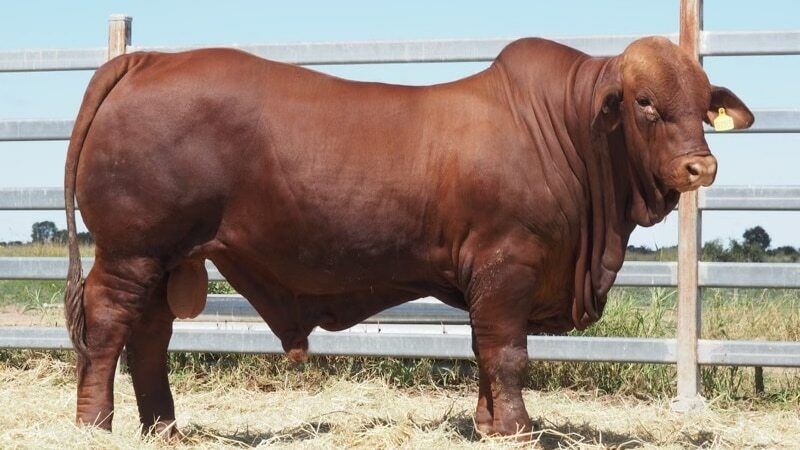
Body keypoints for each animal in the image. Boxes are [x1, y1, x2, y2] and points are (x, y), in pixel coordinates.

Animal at [63, 36, 753, 438]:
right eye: (644, 102)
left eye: (702, 103)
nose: (702, 167)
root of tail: (148, 58)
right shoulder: (508, 263)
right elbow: (508, 354)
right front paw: (519, 429)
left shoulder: (490, 282)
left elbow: (484, 351)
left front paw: (487, 424)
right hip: (130, 251)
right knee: (109, 326)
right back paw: (95, 422)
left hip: (165, 258)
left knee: (150, 336)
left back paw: (163, 427)